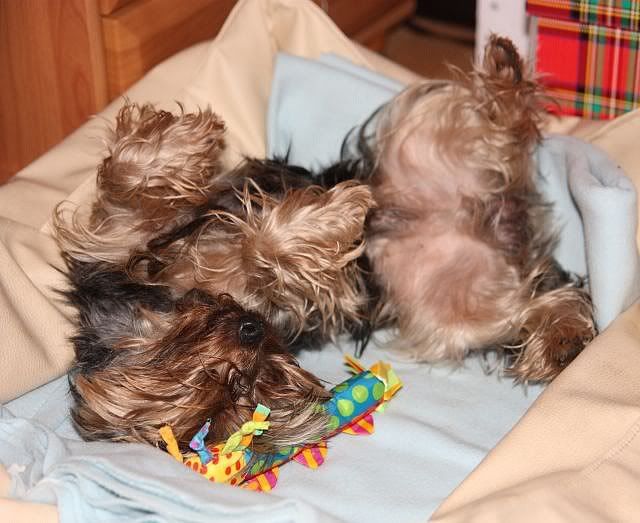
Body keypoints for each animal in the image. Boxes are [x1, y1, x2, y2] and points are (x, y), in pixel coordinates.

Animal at [337, 35, 596, 382]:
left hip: (415, 132)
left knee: (495, 122)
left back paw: (505, 71)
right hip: (454, 308)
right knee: (522, 306)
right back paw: (562, 341)